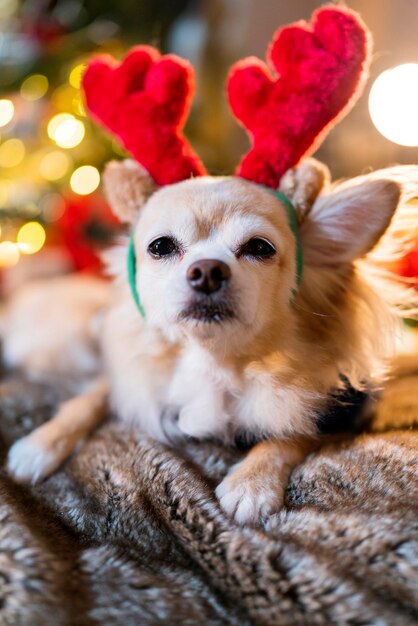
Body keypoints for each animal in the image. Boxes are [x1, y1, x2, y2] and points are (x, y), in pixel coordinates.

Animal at [4, 156, 418, 520]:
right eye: (160, 246)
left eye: (259, 248)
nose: (207, 270)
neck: (213, 358)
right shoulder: (129, 376)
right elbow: (89, 399)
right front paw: (40, 443)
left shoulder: (340, 413)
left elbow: (289, 435)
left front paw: (252, 483)